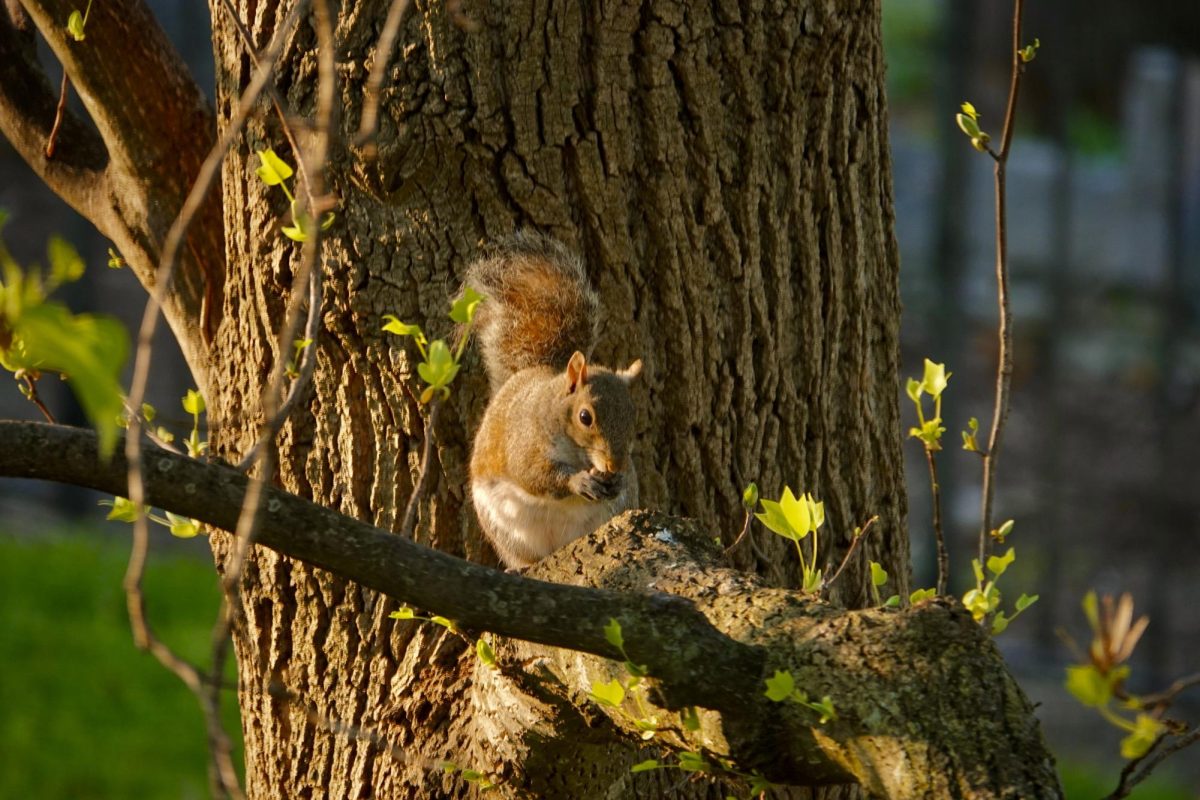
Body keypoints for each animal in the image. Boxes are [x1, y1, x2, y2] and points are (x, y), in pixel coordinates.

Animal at [464, 233, 643, 569]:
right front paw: (578, 482)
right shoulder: (524, 441)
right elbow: (533, 474)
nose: (614, 465)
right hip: (505, 531)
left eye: (633, 419)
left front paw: (617, 481)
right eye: (585, 417)